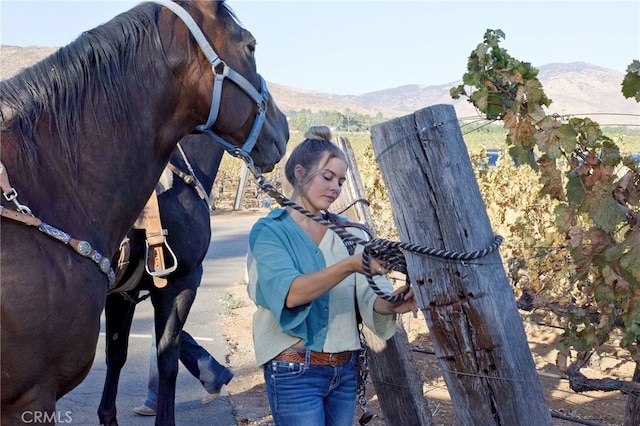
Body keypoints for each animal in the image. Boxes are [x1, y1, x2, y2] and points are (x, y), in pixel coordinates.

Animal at [0, 1, 288, 424]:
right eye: (250, 45)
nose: (283, 129)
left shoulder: (123, 290)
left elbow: (117, 356)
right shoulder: (182, 281)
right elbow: (167, 358)